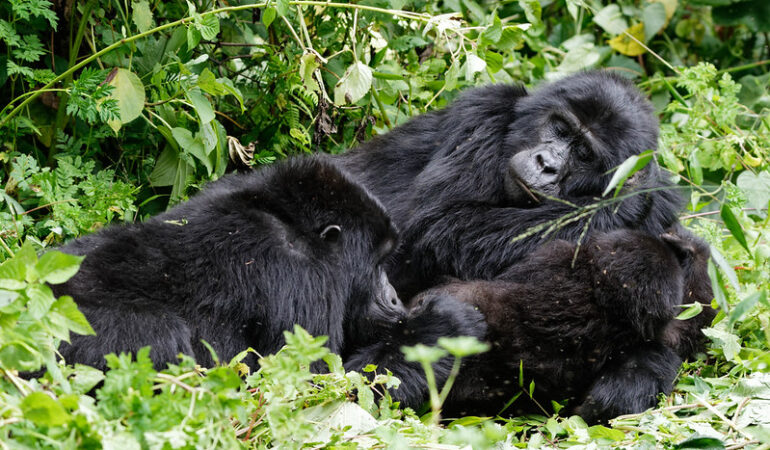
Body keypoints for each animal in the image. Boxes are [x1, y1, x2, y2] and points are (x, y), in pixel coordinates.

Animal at [48, 156, 484, 374]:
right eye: (377, 263)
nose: (394, 298)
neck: (293, 222)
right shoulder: (303, 279)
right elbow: (309, 388)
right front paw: (443, 325)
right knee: (161, 333)